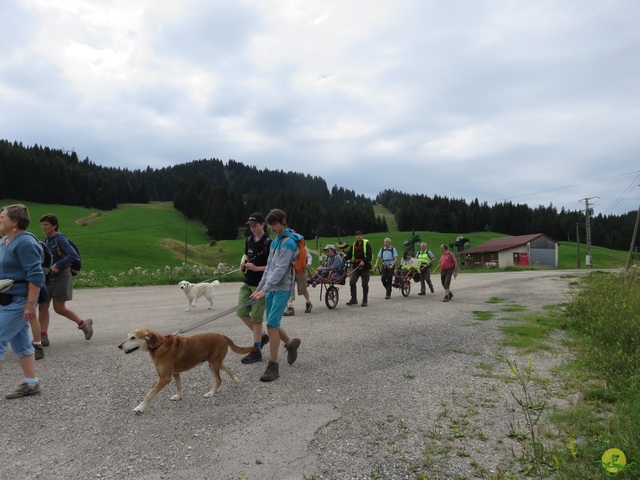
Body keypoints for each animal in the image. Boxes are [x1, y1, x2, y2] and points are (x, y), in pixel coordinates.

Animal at [117, 328, 255, 414]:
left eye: (133, 338)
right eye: (128, 336)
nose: (119, 346)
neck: (159, 345)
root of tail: (222, 336)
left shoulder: (164, 378)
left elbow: (149, 394)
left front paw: (140, 408)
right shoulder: (175, 373)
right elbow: (178, 386)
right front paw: (178, 396)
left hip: (213, 364)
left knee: (219, 379)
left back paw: (211, 393)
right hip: (214, 362)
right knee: (229, 368)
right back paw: (235, 380)